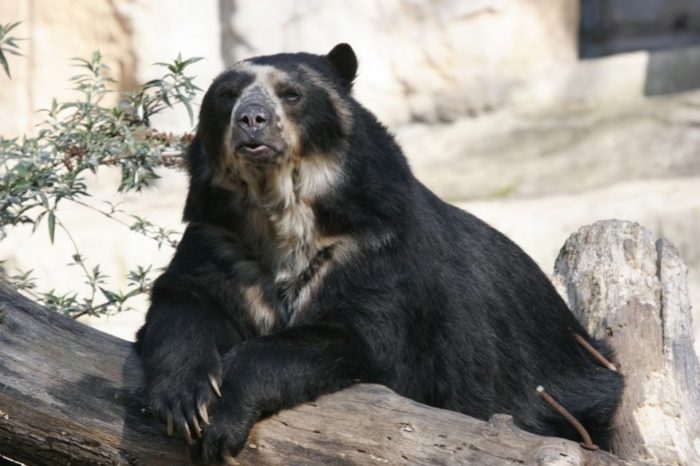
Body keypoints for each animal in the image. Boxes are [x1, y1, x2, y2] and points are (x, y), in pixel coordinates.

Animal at [135, 43, 624, 464]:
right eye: (226, 97)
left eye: (291, 94)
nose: (251, 120)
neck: (280, 214)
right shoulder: (219, 238)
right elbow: (185, 300)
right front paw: (187, 401)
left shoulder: (376, 247)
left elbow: (361, 335)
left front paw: (225, 416)